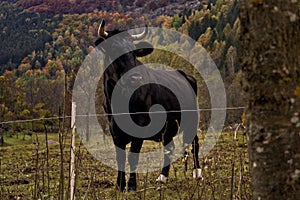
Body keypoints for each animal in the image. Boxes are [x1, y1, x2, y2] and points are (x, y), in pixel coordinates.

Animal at [95, 19, 200, 191]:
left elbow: (133, 157)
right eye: (114, 49)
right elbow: (120, 158)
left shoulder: (140, 125)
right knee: (169, 148)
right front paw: (119, 185)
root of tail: (183, 73)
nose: (136, 78)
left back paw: (197, 173)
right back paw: (162, 177)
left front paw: (131, 186)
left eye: (134, 52)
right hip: (169, 126)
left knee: (194, 143)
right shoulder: (114, 129)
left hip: (192, 118)